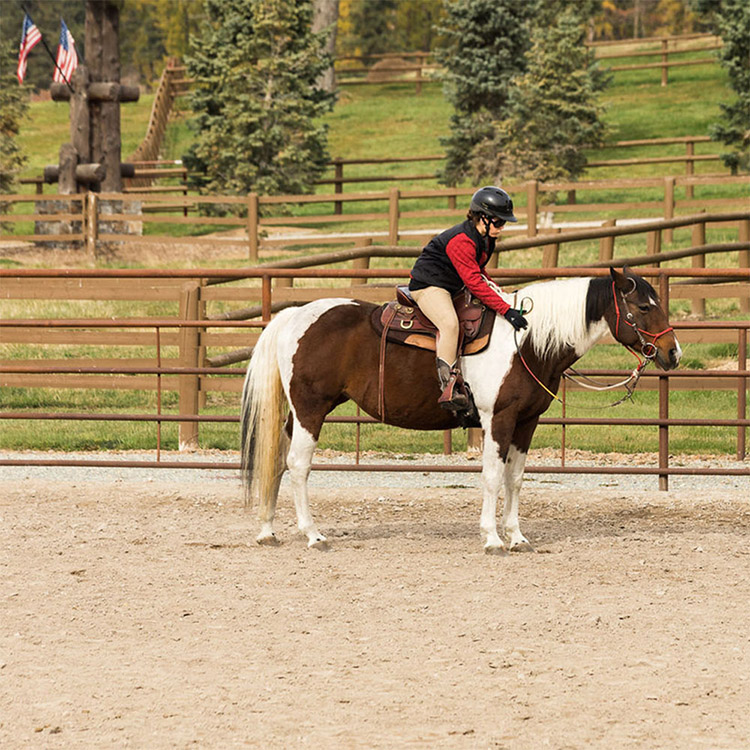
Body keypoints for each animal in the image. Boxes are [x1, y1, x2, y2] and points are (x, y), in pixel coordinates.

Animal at [241, 268, 680, 556]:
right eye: (643, 306)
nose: (674, 353)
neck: (526, 342)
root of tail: (293, 316)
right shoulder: (497, 418)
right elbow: (491, 476)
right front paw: (492, 538)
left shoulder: (527, 422)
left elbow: (515, 479)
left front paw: (517, 536)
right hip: (311, 409)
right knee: (297, 465)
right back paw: (313, 534)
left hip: (295, 415)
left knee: (275, 460)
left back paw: (267, 530)